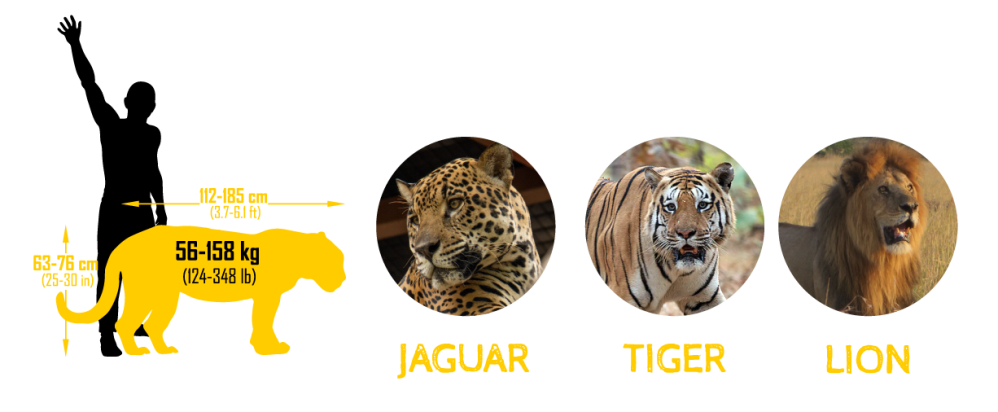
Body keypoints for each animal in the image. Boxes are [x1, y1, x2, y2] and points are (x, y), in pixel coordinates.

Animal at [585, 163, 735, 315]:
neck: (676, 270)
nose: (685, 233)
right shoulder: (623, 292)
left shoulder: (705, 299)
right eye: (671, 207)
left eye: (703, 205)